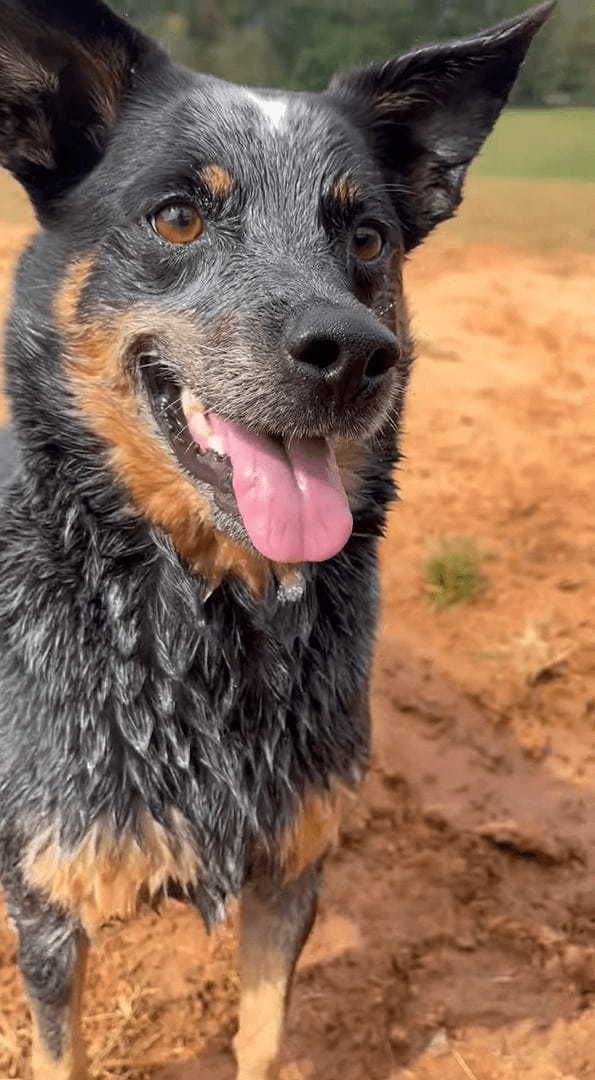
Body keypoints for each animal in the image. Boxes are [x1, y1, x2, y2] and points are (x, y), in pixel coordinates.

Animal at [0, 4, 552, 1075]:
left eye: (368, 236)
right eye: (178, 215)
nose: (353, 356)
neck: (208, 612)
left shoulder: (292, 868)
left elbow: (264, 1036)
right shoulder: (50, 908)